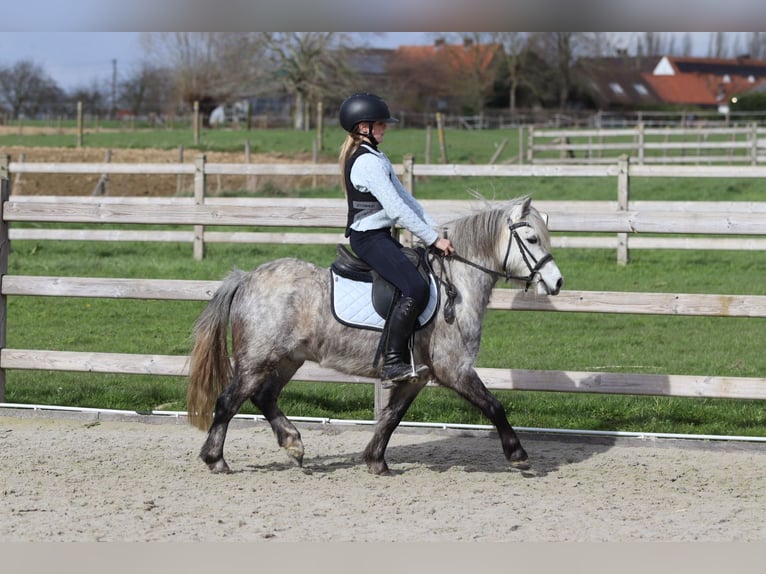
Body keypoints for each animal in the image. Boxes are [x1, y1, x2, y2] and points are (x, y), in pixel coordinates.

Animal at [187, 195, 563, 475]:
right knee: (228, 401)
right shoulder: (454, 369)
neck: (454, 285)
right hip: (258, 359)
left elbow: (392, 416)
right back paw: (216, 459)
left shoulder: (417, 376)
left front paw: (375, 460)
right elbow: (494, 405)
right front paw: (517, 454)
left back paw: (293, 444)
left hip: (287, 360)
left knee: (264, 397)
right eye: (531, 239)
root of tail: (246, 278)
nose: (557, 282)